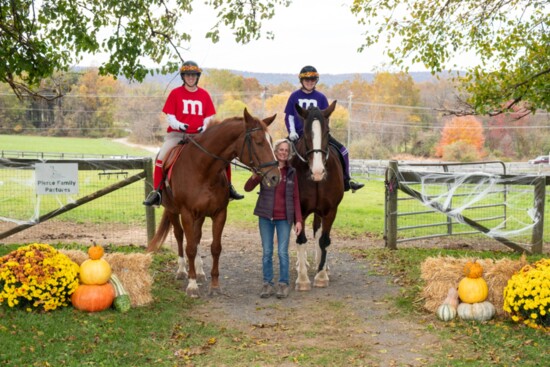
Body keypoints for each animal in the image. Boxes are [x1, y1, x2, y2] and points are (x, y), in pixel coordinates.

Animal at [148, 109, 280, 300]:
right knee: (180, 236)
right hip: (172, 211)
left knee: (196, 237)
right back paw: (182, 270)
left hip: (200, 215)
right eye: (259, 142)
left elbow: (215, 248)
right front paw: (192, 285)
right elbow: (189, 247)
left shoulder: (219, 213)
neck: (203, 169)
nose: (275, 177)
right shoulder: (186, 214)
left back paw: (199, 271)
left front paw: (215, 285)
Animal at [294, 100, 344, 290]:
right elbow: (300, 239)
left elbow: (324, 240)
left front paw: (321, 275)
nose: (317, 172)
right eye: (305, 132)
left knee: (318, 232)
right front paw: (302, 279)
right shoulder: (298, 210)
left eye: (327, 132)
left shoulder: (330, 211)